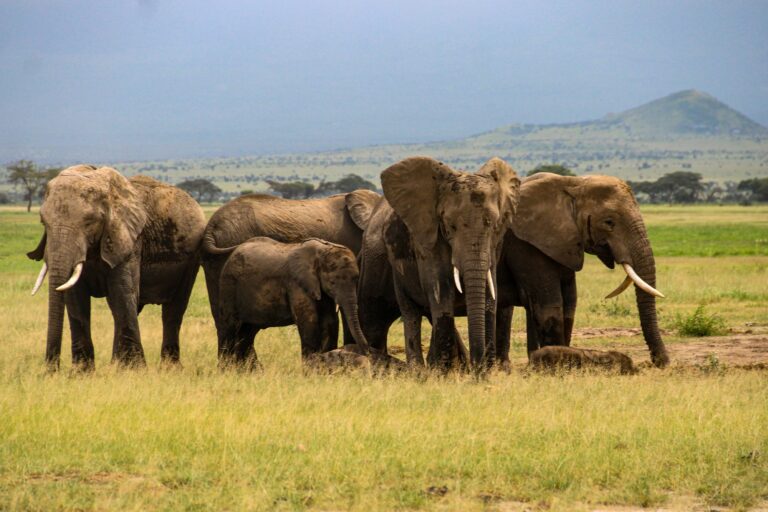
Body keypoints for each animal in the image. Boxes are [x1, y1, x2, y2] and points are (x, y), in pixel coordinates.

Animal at [27, 165, 206, 370]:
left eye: (89, 222)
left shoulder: (130, 241)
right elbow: (76, 298)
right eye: (43, 222)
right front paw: (81, 372)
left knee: (173, 309)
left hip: (192, 258)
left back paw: (170, 368)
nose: (51, 370)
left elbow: (122, 292)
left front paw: (134, 370)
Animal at [217, 237, 370, 369]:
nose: (366, 352)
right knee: (229, 328)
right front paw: (311, 371)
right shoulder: (297, 284)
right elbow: (309, 321)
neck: (321, 251)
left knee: (247, 333)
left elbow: (330, 322)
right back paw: (225, 371)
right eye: (332, 282)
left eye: (356, 279)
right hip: (228, 285)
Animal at [358, 156, 520, 372]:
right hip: (377, 260)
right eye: (451, 225)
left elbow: (489, 292)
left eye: (493, 225)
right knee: (390, 317)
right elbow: (441, 291)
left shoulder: (495, 244)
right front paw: (444, 373)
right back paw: (417, 370)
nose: (479, 370)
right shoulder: (428, 236)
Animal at [495, 172, 669, 368]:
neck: (573, 183)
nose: (657, 363)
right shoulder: (525, 245)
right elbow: (550, 307)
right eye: (609, 222)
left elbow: (570, 304)